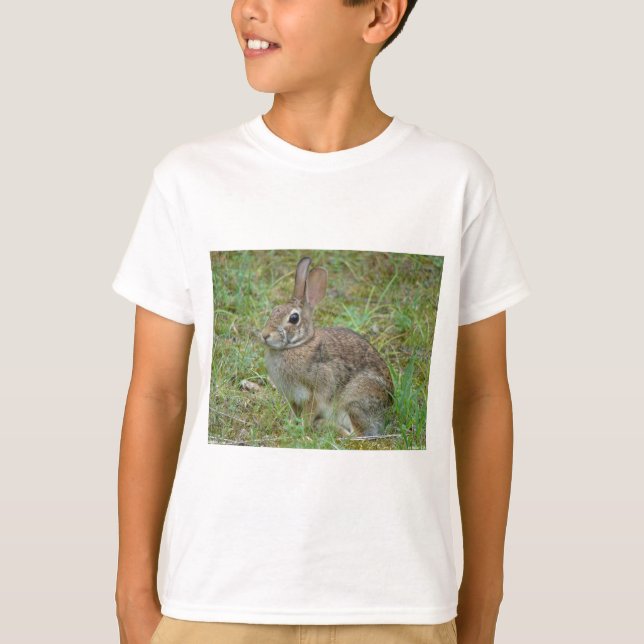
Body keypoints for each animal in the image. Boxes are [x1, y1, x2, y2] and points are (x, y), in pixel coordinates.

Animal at [260, 256, 394, 437]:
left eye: (294, 318)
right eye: (274, 310)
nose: (264, 335)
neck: (298, 345)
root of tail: (388, 410)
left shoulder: (317, 391)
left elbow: (309, 413)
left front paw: (300, 429)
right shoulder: (293, 398)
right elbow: (294, 413)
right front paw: (289, 425)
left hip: (353, 401)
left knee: (355, 434)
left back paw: (324, 425)